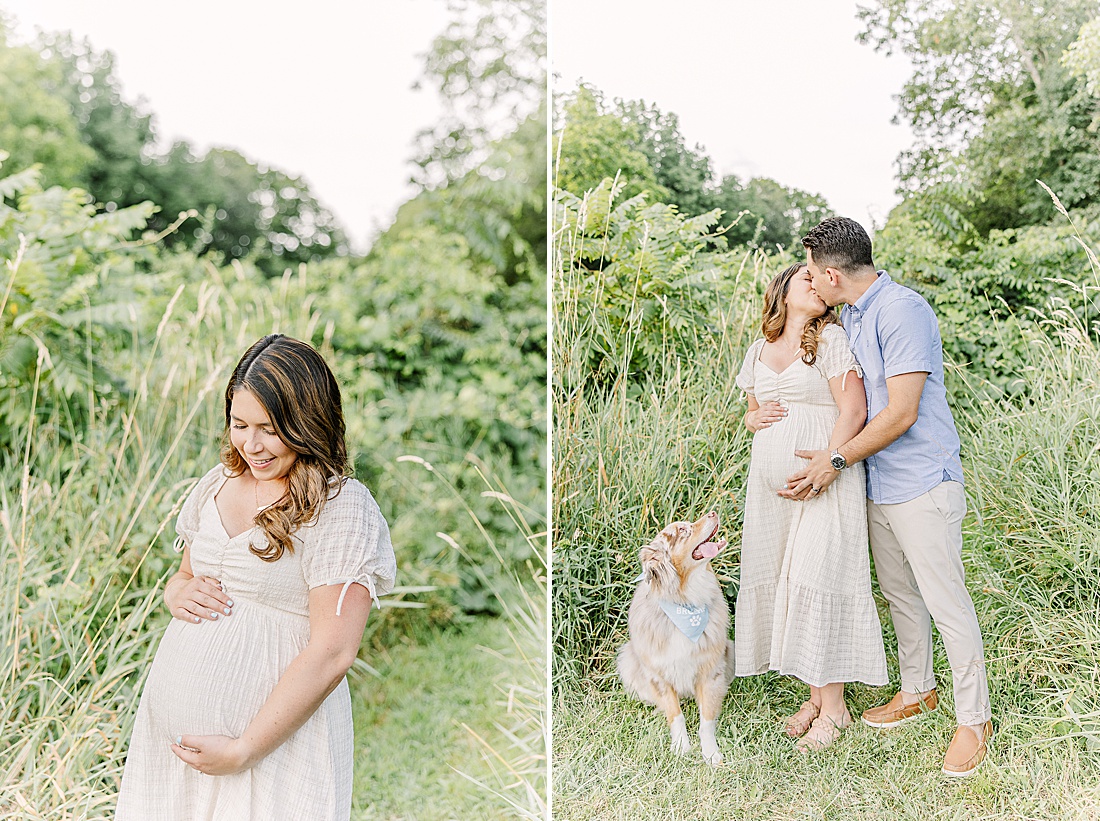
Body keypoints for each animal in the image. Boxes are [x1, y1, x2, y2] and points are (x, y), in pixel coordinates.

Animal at [616, 508, 734, 765]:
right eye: (682, 530)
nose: (713, 511)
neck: (685, 605)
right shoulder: (660, 676)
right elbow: (676, 714)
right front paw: (681, 747)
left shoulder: (709, 671)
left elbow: (706, 721)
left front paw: (710, 752)